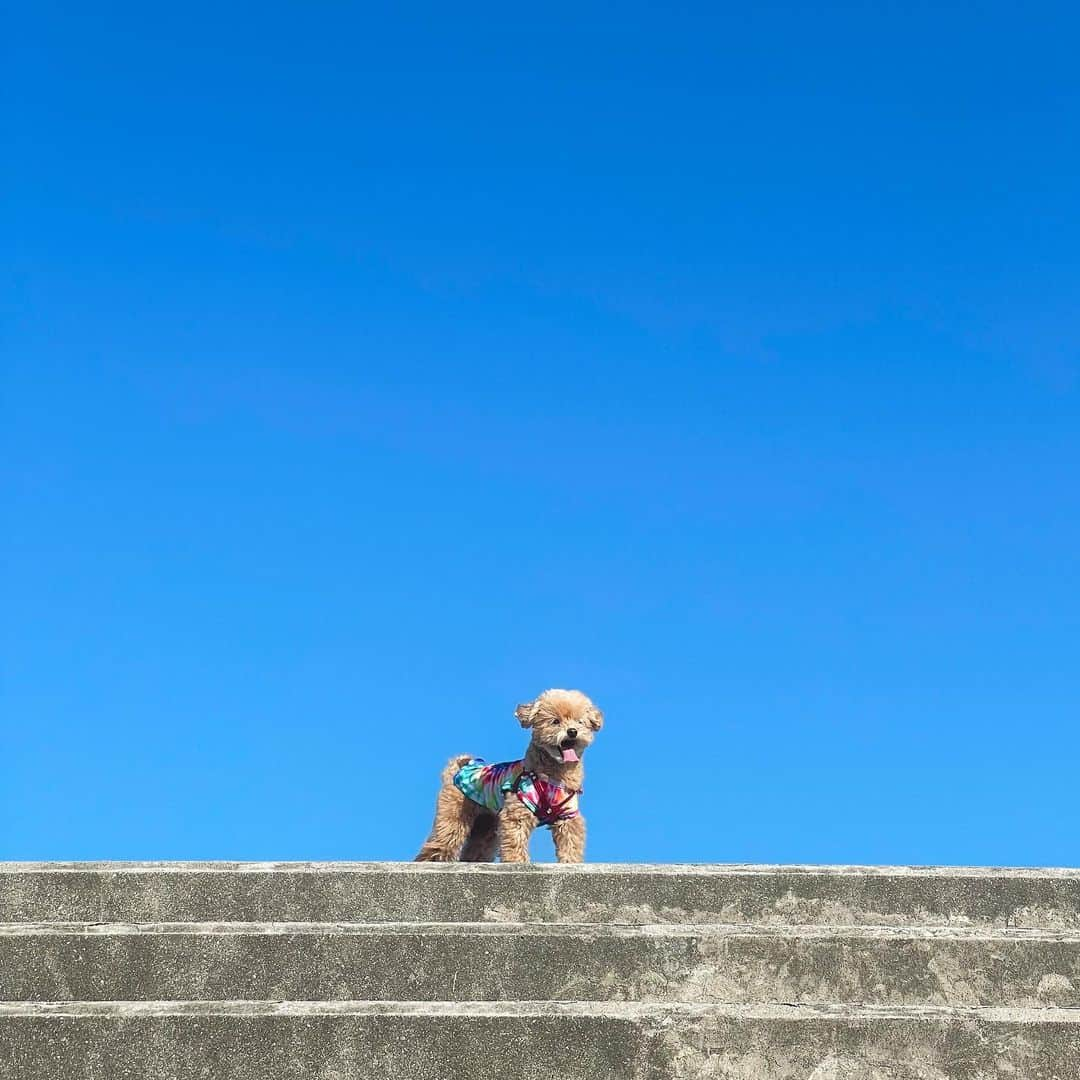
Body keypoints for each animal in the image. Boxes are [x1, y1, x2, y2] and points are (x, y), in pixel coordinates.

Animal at [414, 691, 604, 859]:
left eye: (580, 722)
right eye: (555, 721)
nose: (572, 731)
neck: (554, 774)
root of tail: (456, 771)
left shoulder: (568, 816)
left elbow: (571, 845)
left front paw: (570, 862)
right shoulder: (517, 813)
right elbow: (515, 844)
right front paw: (519, 862)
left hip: (486, 826)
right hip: (454, 816)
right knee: (438, 845)